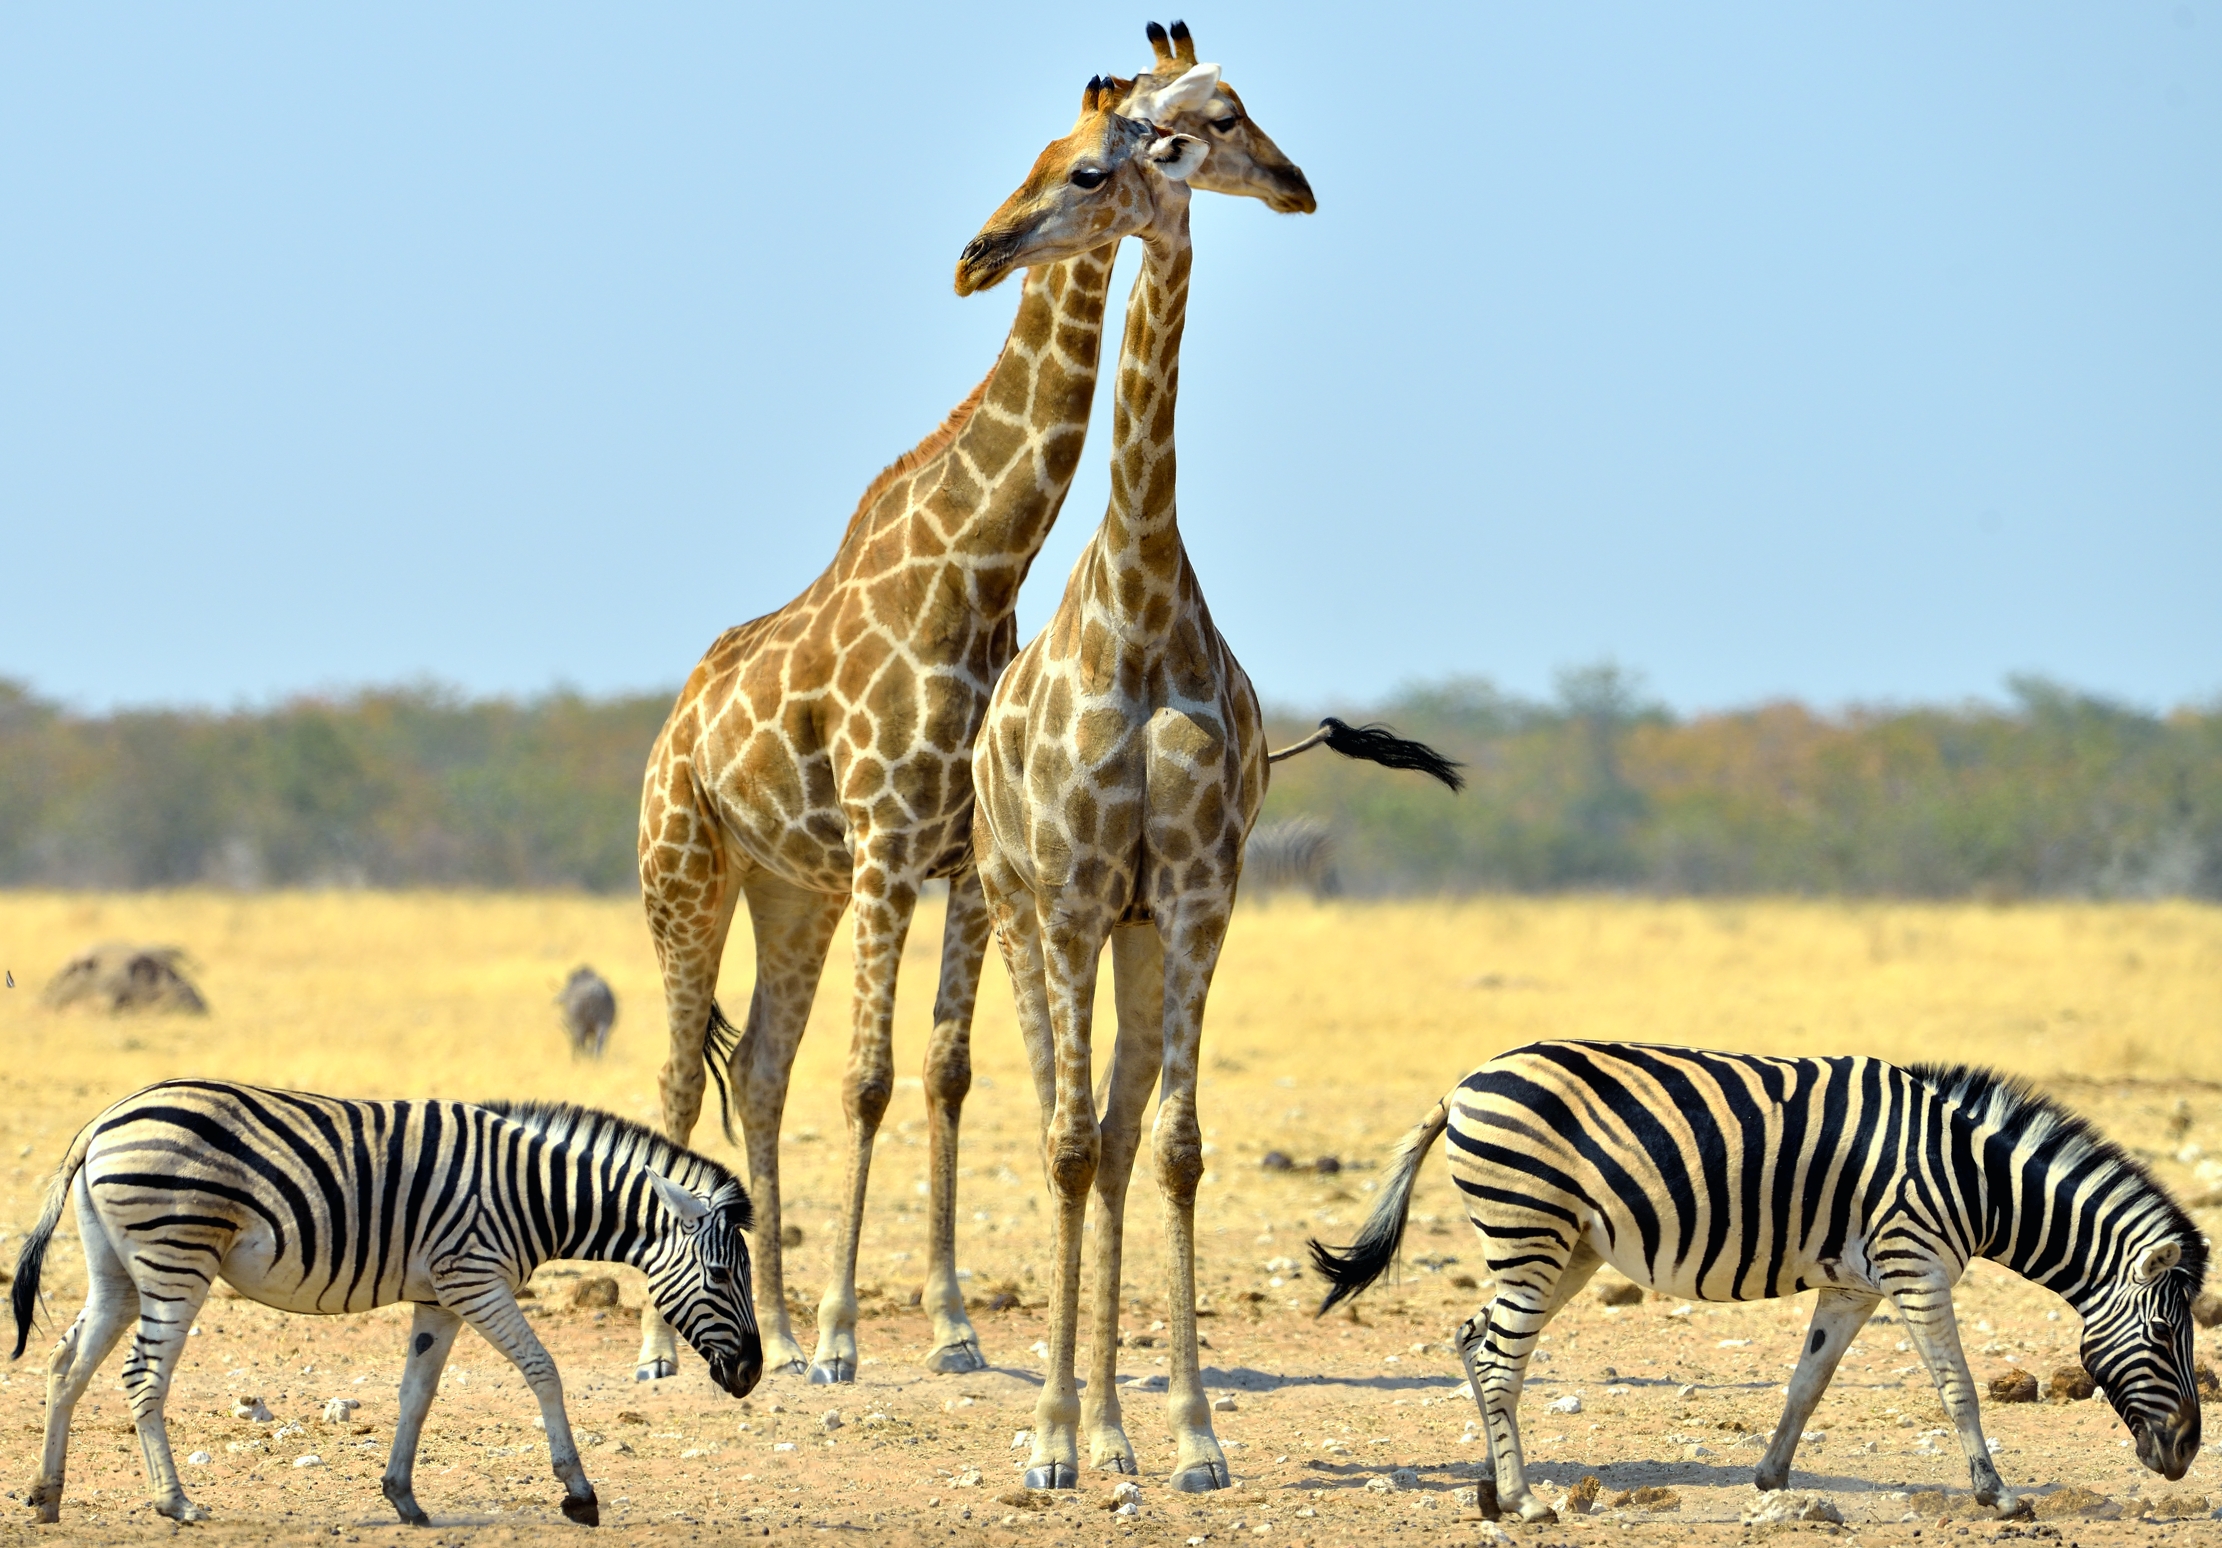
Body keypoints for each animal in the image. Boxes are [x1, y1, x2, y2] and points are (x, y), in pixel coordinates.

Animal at [634, 32, 1312, 1387]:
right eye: (1062, 156)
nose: (974, 254)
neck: (981, 561)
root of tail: (673, 728)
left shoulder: (950, 863)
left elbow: (941, 1074)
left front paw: (943, 1325)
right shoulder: (898, 846)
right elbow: (873, 1078)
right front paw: (848, 1337)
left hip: (794, 890)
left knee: (766, 1073)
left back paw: (768, 1318)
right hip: (685, 874)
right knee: (682, 1078)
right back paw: (663, 1351)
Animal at [965, 87, 1461, 1493]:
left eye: (1094, 169)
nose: (978, 252)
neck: (1135, 614)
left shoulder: (1192, 895)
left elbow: (1175, 1147)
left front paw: (1188, 1435)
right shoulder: (1074, 892)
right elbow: (1064, 1142)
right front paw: (1047, 1444)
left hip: (1129, 936)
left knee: (1119, 1137)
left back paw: (1115, 1424)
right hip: (1014, 913)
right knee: (1058, 1125)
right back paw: (1072, 1426)